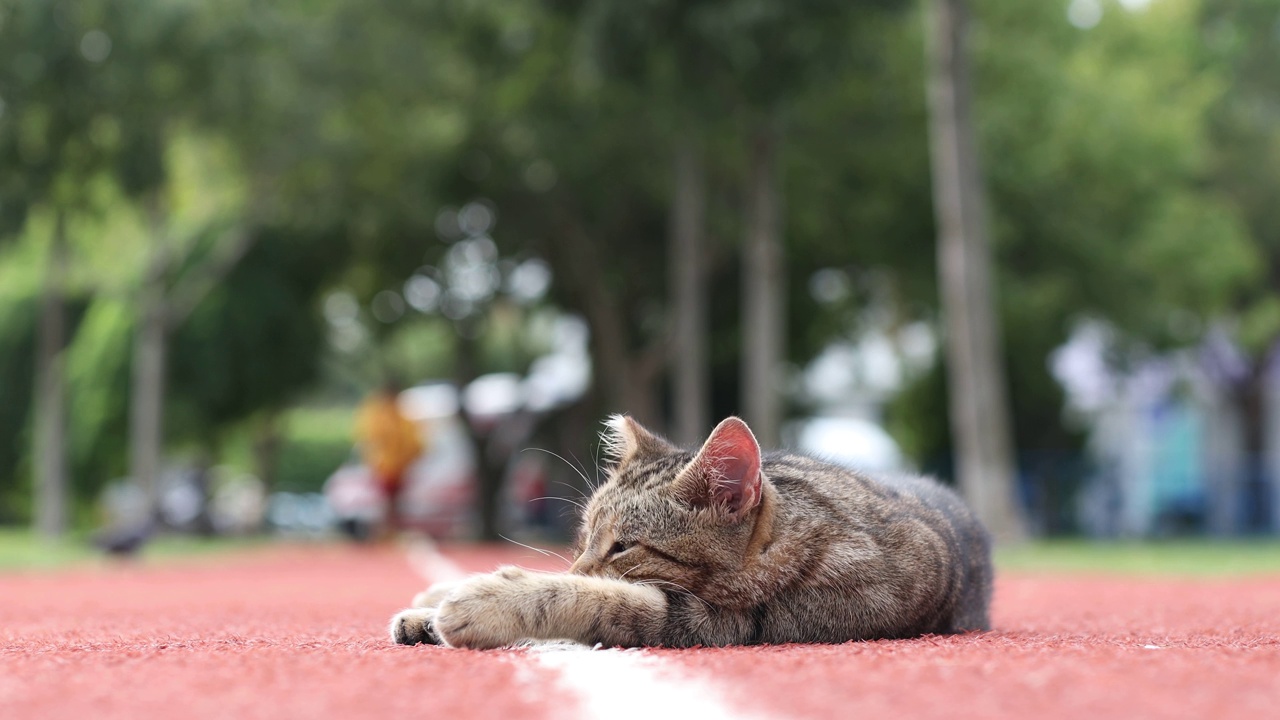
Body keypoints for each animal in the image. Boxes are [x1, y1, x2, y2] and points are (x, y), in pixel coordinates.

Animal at [389, 412, 988, 648]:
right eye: (584, 538)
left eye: (624, 546)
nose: (581, 560)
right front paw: (431, 602)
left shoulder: (720, 622)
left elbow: (585, 595)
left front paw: (483, 601)